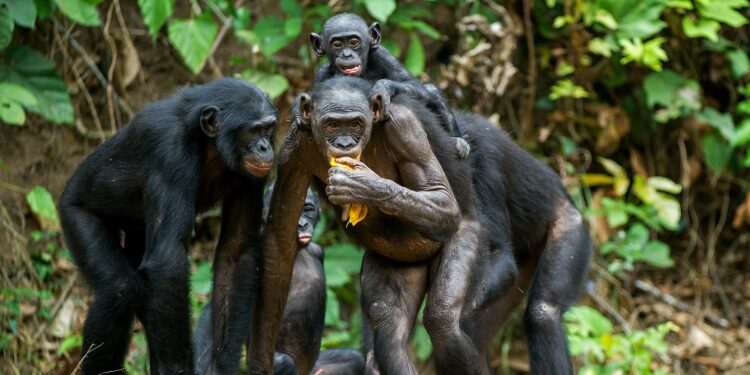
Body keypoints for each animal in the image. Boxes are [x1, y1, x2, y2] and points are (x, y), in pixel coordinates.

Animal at [57, 78, 278, 374]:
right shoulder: (170, 151)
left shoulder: (252, 175)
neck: (208, 145)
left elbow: (236, 249)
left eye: (268, 129)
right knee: (119, 288)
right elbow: (168, 262)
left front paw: (221, 365)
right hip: (75, 213)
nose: (265, 147)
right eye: (253, 131)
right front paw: (177, 369)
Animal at [251, 77, 592, 375]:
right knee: (389, 325)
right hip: (400, 262)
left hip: (553, 228)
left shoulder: (408, 130)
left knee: (459, 319)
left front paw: (363, 184)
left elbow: (442, 198)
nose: (345, 142)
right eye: (332, 124)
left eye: (356, 124)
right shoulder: (292, 148)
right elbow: (280, 236)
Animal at [304, 12, 470, 159]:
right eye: (337, 44)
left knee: (432, 91)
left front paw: (382, 88)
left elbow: (412, 84)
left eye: (353, 42)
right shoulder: (320, 74)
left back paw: (459, 142)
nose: (346, 55)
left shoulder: (384, 55)